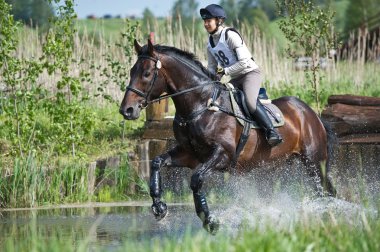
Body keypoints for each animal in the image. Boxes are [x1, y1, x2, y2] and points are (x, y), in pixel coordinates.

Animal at [119, 39, 336, 234]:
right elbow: (157, 162)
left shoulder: (222, 155)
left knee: (326, 190)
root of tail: (311, 113)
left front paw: (210, 221)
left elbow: (196, 179)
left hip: (314, 161)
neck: (201, 105)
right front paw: (159, 207)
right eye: (131, 72)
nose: (126, 110)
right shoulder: (189, 154)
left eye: (147, 74)